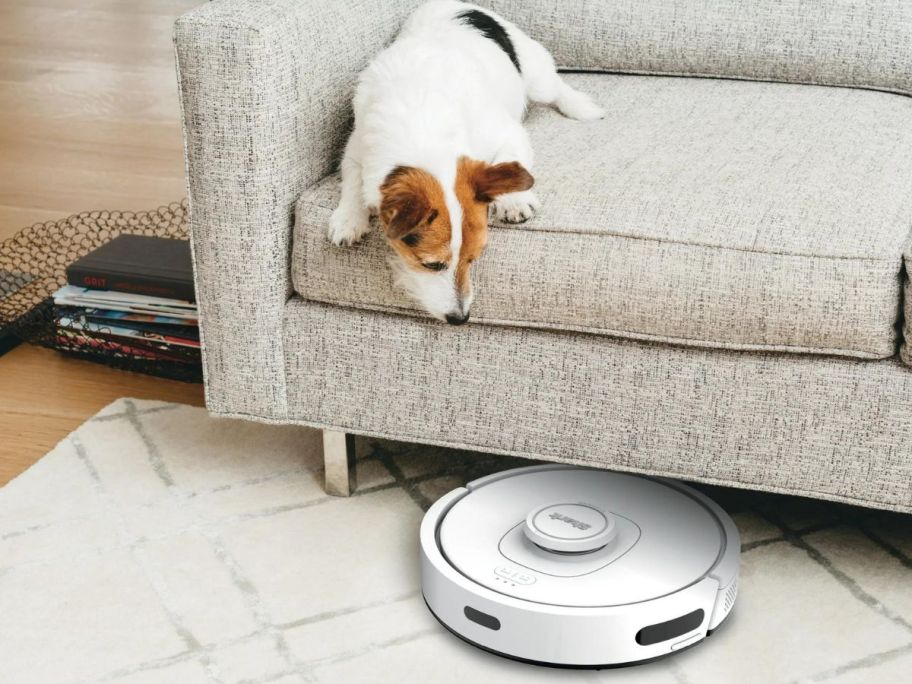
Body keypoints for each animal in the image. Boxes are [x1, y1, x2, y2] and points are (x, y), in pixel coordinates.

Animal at [330, 0, 604, 324]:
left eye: (473, 258)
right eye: (432, 264)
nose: (461, 318)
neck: (425, 121)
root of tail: (458, 4)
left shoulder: (506, 132)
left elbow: (511, 158)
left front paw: (514, 201)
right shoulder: (356, 146)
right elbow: (352, 180)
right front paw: (349, 218)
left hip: (536, 74)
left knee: (555, 86)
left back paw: (580, 106)